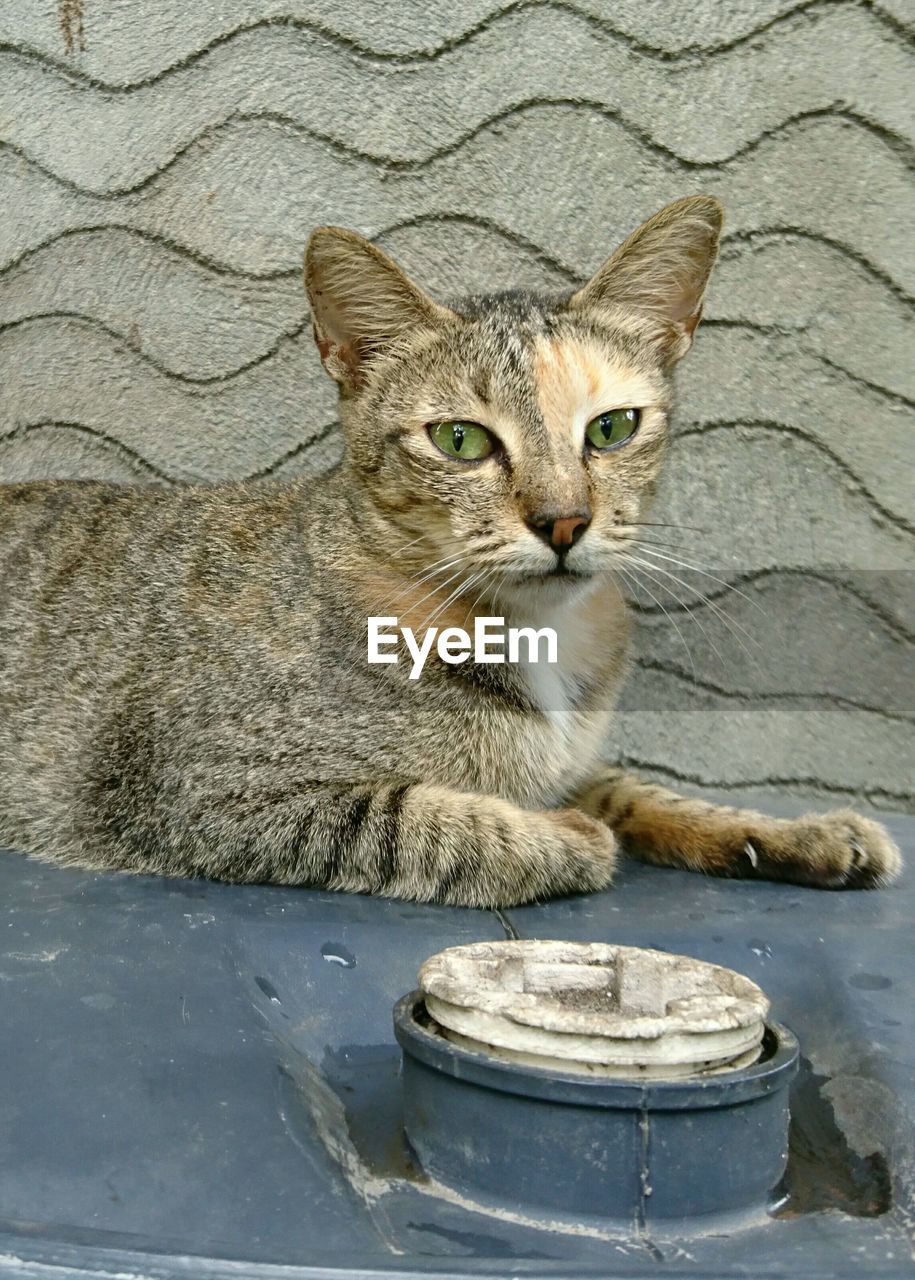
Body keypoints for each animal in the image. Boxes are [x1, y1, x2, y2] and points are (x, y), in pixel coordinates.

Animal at [0, 194, 900, 906]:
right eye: (460, 440)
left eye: (611, 428)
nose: (563, 520)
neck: (535, 635)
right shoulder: (209, 793)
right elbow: (414, 817)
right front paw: (562, 840)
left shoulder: (577, 762)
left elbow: (643, 792)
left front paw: (793, 831)